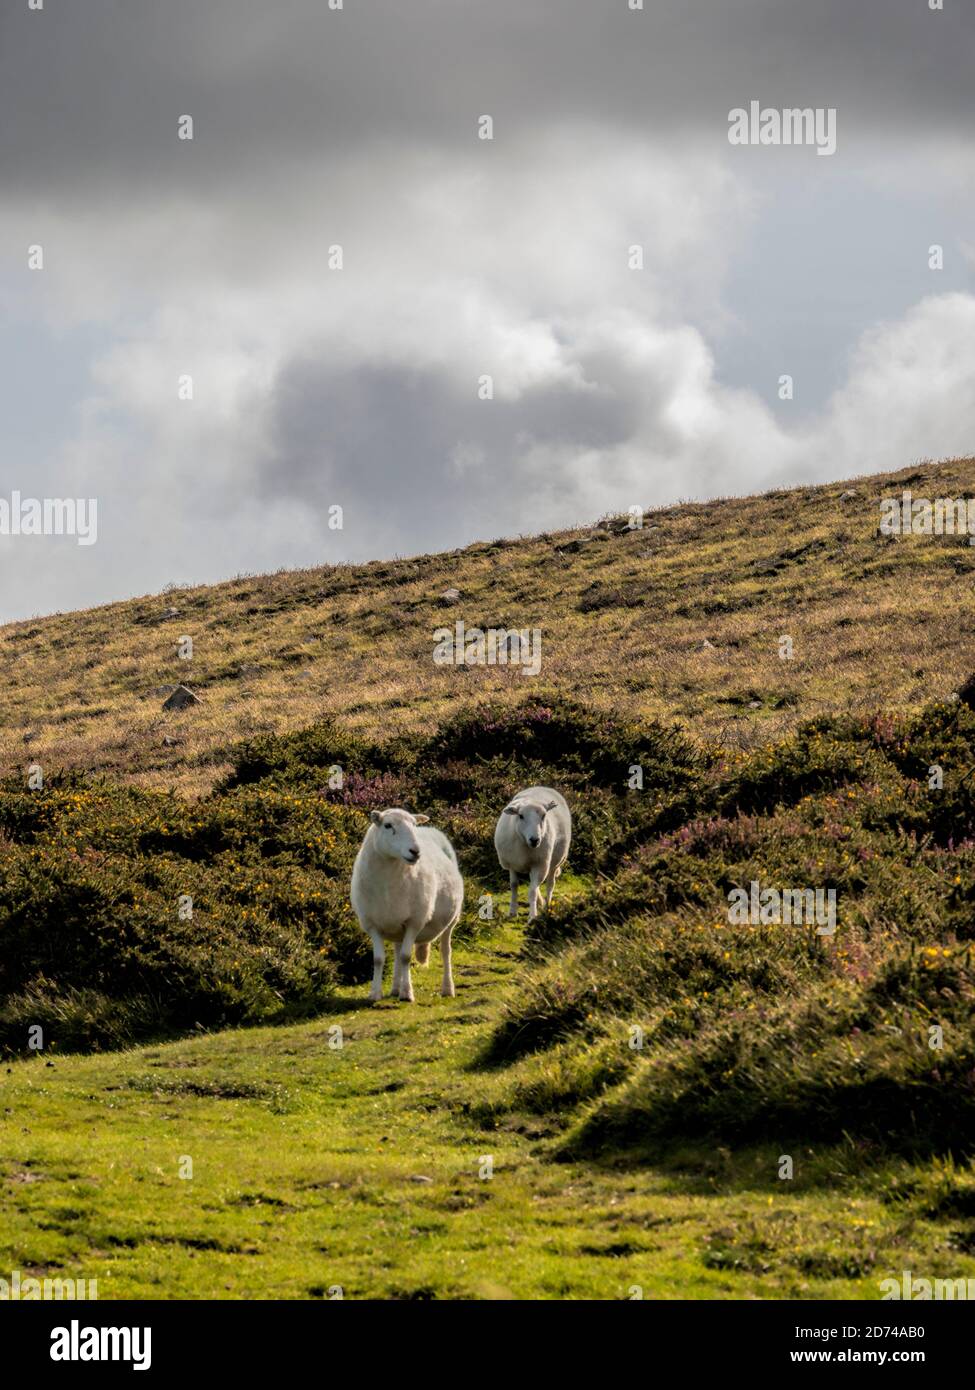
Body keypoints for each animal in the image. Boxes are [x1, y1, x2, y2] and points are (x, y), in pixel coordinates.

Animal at [351, 808, 464, 1003]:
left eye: (413, 824)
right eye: (388, 825)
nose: (416, 851)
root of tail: (430, 829)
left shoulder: (414, 922)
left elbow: (405, 957)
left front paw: (407, 993)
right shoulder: (372, 924)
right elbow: (378, 959)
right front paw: (375, 993)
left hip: (451, 920)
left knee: (445, 951)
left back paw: (447, 989)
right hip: (396, 924)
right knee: (396, 951)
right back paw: (395, 988)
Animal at [494, 786, 571, 921]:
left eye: (544, 815)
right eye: (520, 816)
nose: (535, 840)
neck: (524, 844)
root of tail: (542, 786)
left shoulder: (539, 865)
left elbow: (532, 891)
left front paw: (533, 916)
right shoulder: (512, 864)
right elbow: (514, 885)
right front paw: (512, 912)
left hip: (554, 861)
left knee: (550, 884)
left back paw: (547, 906)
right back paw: (541, 902)